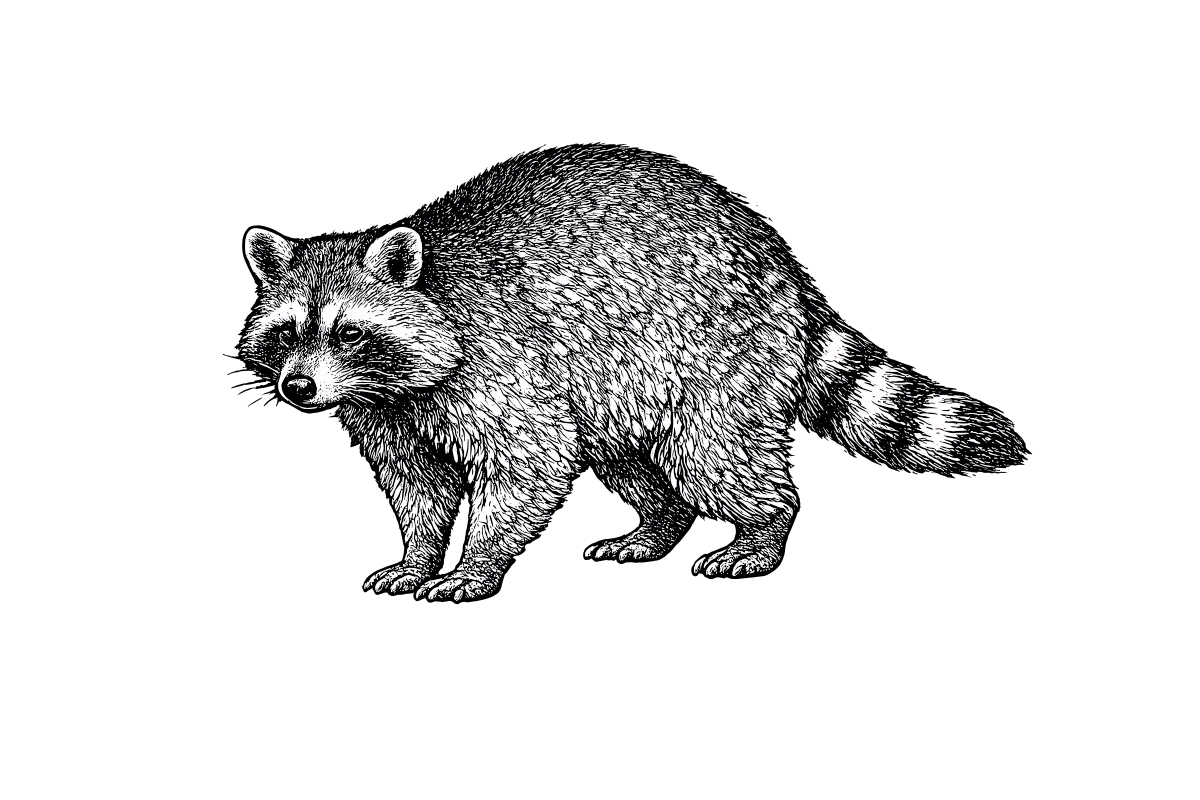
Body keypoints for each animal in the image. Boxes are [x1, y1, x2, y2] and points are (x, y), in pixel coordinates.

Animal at [242, 146, 1019, 600]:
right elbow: (419, 486)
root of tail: (777, 262)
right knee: (630, 460)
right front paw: (420, 551)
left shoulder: (503, 366)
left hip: (715, 352)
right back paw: (657, 520)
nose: (297, 388)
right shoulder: (391, 413)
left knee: (715, 458)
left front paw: (475, 562)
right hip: (617, 382)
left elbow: (526, 469)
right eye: (287, 334)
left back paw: (764, 527)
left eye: (349, 332)